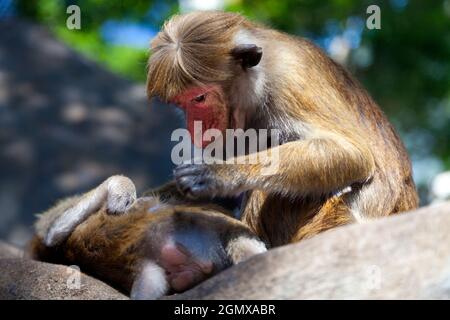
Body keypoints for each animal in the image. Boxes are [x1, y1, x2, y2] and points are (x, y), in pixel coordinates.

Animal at [146, 9, 420, 245]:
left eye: (200, 98)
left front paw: (219, 173)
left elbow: (353, 154)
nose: (194, 127)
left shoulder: (289, 80)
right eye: (180, 103)